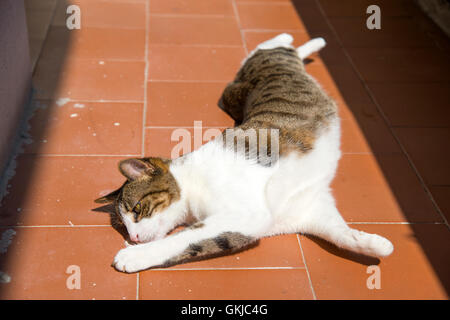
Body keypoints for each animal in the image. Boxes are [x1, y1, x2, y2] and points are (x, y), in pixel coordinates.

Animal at [96, 33, 394, 272]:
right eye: (124, 225)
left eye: (136, 210)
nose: (133, 238)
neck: (191, 184)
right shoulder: (302, 210)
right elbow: (340, 234)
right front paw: (375, 243)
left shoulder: (242, 214)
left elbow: (183, 238)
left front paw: (134, 255)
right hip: (244, 84)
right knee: (288, 50)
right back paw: (311, 43)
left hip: (252, 72)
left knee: (273, 46)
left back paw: (302, 39)